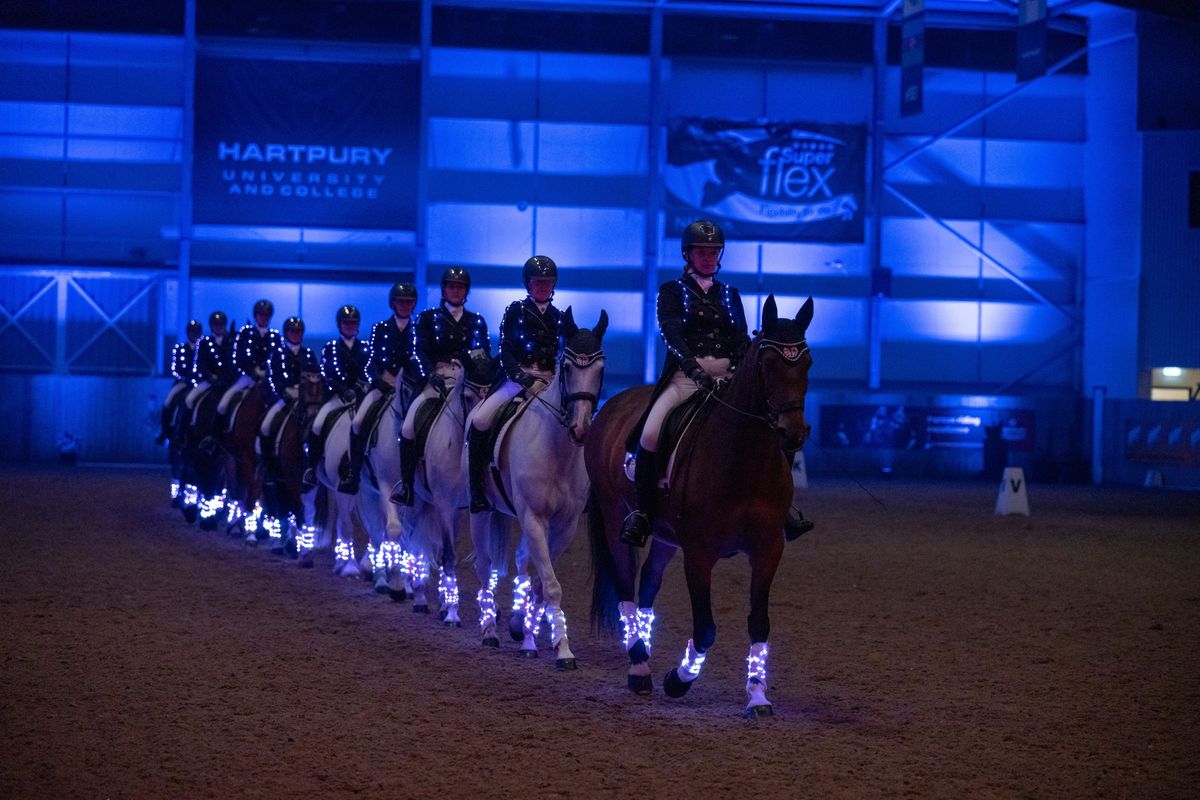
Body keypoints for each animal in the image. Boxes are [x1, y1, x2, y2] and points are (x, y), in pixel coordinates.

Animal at [463, 307, 604, 671]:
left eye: (600, 369)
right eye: (566, 367)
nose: (581, 429)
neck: (557, 449)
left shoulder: (565, 525)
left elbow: (542, 583)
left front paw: (529, 633)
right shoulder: (533, 517)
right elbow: (550, 586)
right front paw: (564, 652)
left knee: (522, 561)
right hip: (480, 511)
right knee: (484, 565)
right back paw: (489, 632)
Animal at [583, 296, 816, 719]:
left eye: (806, 362)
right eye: (768, 363)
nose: (793, 433)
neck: (744, 458)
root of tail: (611, 406)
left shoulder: (768, 550)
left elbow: (759, 623)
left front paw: (758, 696)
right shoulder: (699, 553)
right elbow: (706, 629)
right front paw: (679, 679)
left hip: (664, 535)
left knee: (648, 585)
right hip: (613, 515)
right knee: (625, 585)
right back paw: (639, 668)